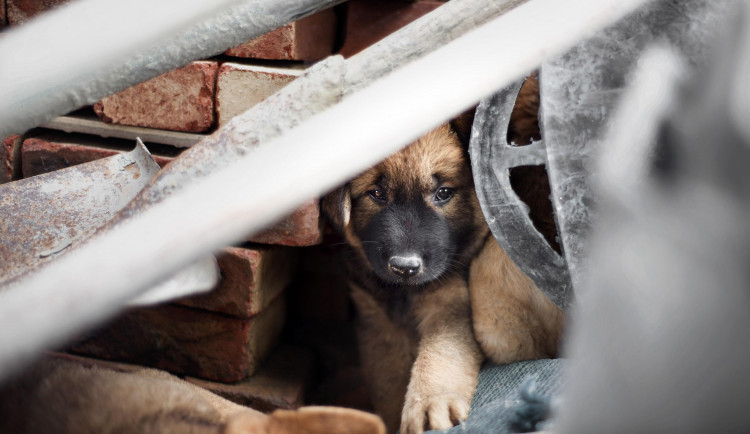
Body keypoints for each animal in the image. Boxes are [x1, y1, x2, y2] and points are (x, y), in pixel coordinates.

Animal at [324, 80, 564, 430]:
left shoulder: (450, 300)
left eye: (443, 193)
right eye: (376, 194)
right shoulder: (376, 321)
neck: (405, 294)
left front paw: (430, 403)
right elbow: (388, 382)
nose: (405, 267)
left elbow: (442, 352)